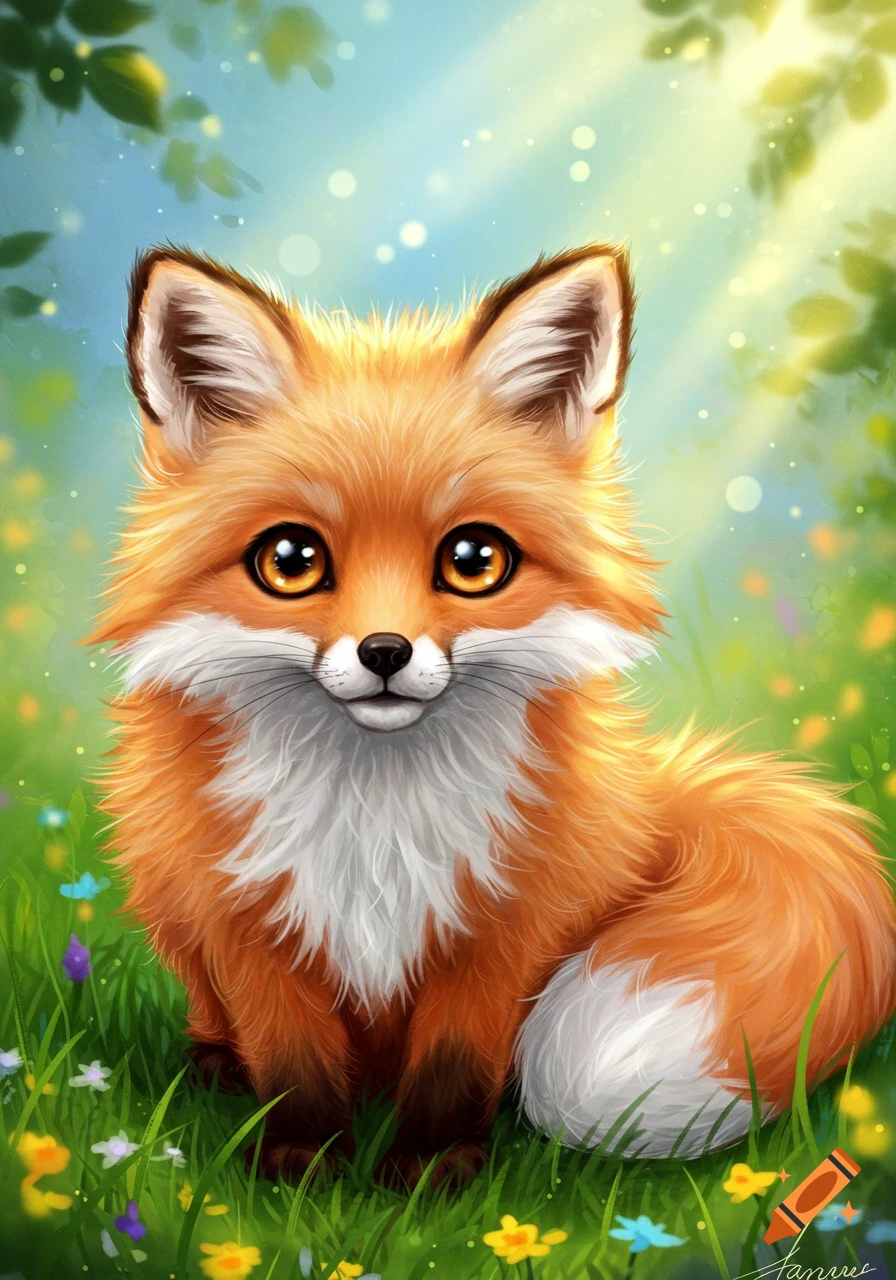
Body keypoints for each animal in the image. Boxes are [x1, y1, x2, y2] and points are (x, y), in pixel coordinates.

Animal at [91, 241, 896, 1189]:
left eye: (474, 559)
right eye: (291, 559)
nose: (386, 652)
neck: (374, 819)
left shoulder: (502, 928)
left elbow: (455, 1063)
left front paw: (432, 1171)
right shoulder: (246, 924)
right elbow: (294, 1061)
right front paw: (304, 1162)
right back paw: (215, 1062)